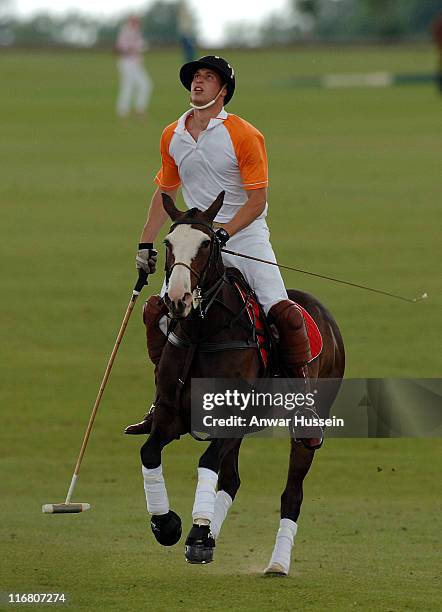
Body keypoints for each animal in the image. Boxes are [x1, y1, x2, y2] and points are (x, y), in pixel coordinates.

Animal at [138, 194, 346, 576]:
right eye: (167, 243)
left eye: (207, 243)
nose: (178, 299)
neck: (202, 334)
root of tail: (322, 313)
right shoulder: (171, 415)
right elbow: (150, 452)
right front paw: (169, 526)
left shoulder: (230, 418)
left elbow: (206, 460)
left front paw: (196, 533)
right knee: (231, 480)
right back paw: (208, 536)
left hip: (305, 423)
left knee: (292, 493)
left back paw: (276, 564)